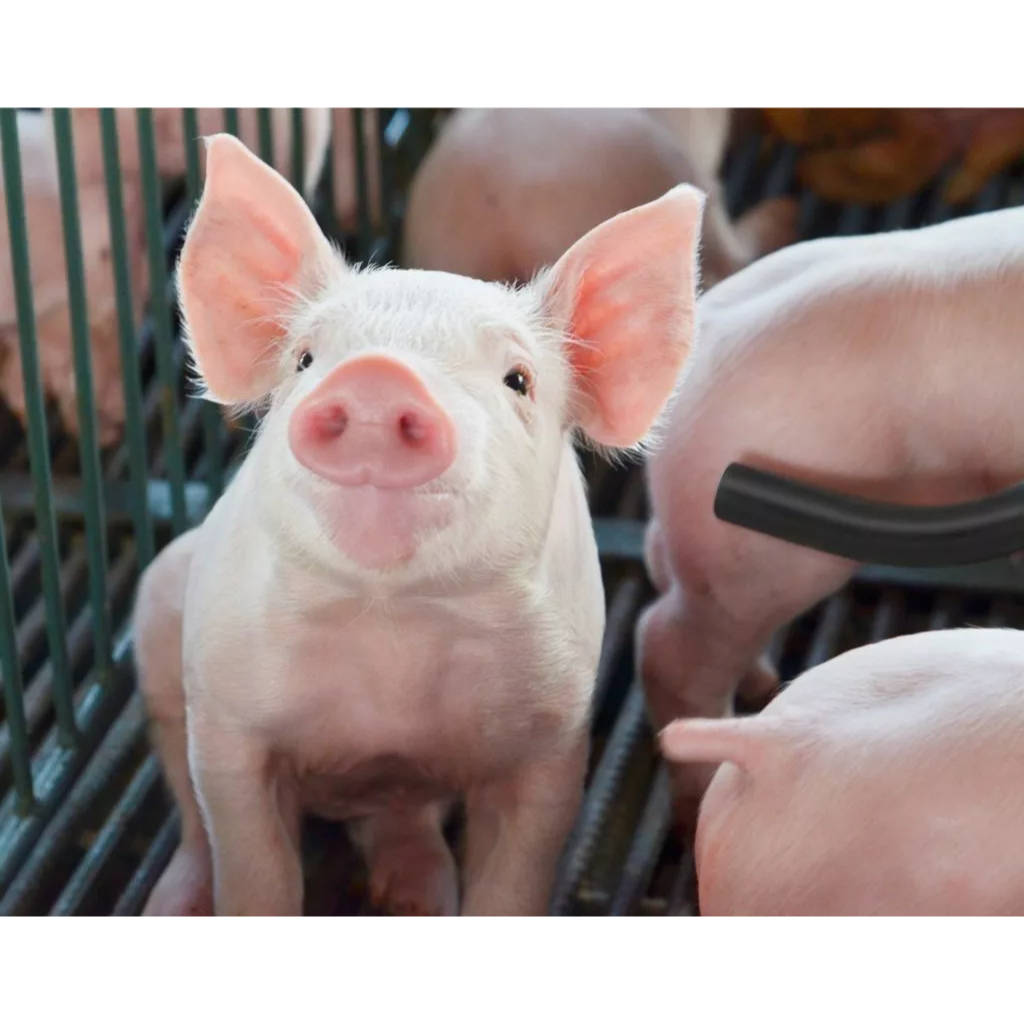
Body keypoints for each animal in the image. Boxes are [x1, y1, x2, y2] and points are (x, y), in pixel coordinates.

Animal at [131, 133, 705, 915]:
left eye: (518, 380)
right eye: (305, 357)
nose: (378, 375)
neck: (394, 634)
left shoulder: (552, 738)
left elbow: (513, 881)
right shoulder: (226, 717)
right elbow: (254, 869)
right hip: (163, 614)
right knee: (191, 817)